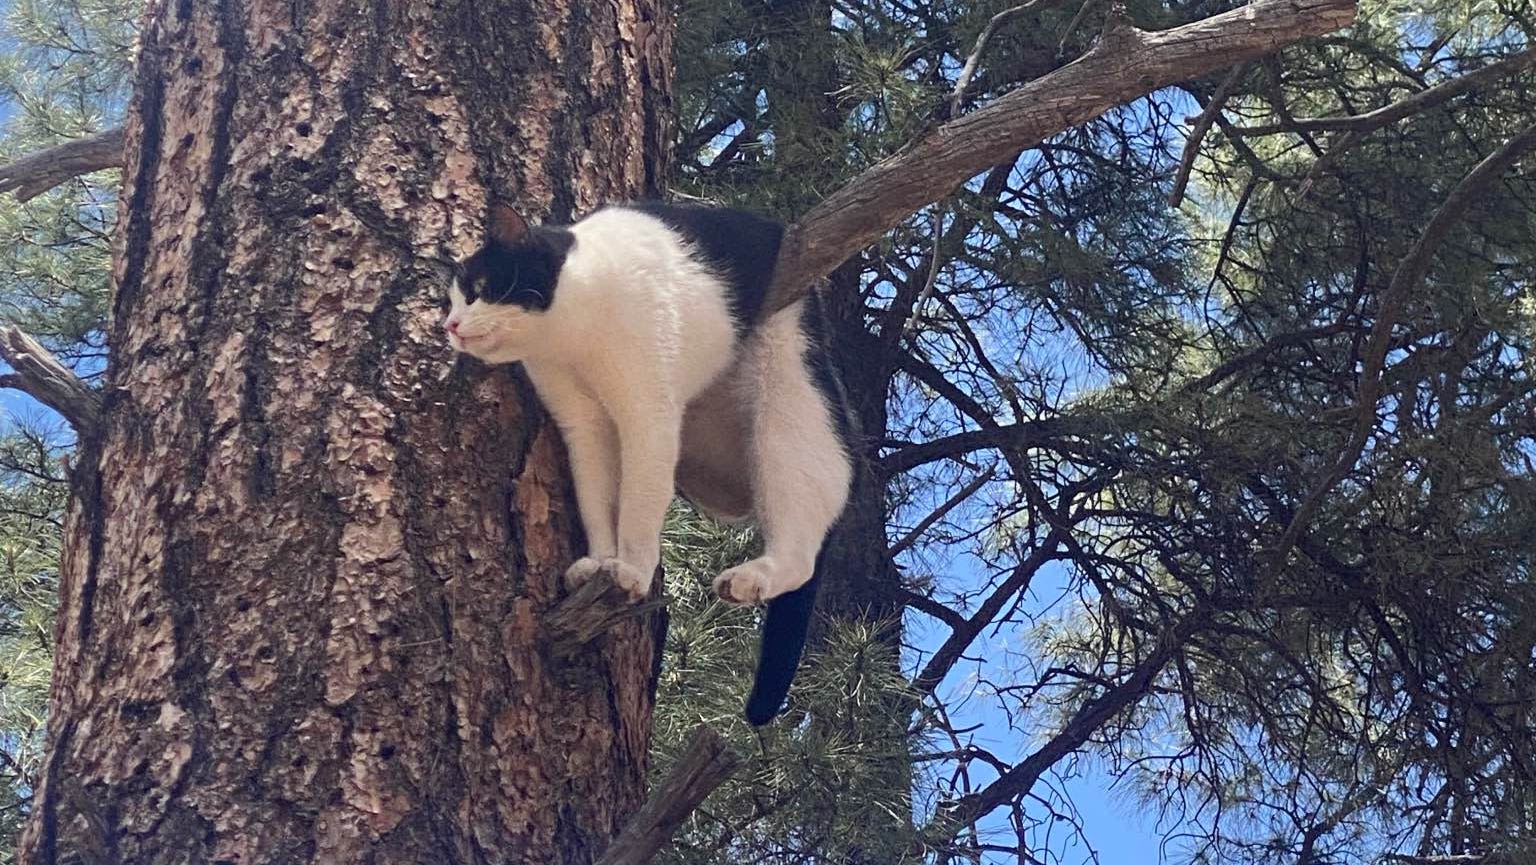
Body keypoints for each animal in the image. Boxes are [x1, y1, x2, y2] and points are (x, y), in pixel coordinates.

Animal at [445, 198, 860, 725]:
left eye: (478, 290)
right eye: (452, 300)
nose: (450, 327)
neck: (572, 334)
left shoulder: (649, 416)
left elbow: (639, 507)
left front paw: (633, 572)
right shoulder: (584, 427)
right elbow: (597, 501)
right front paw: (601, 562)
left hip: (787, 400)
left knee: (805, 541)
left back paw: (751, 578)